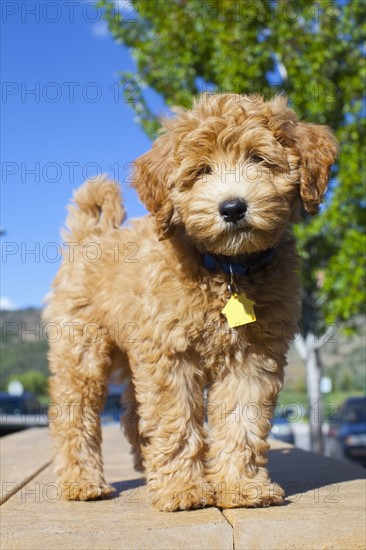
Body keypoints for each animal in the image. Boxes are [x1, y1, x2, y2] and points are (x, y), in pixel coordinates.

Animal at [44, 95, 338, 512]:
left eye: (259, 159)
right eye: (201, 171)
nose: (232, 208)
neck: (226, 268)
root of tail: (91, 234)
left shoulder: (252, 355)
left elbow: (242, 420)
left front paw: (241, 486)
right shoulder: (171, 353)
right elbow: (176, 417)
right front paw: (183, 489)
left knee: (133, 414)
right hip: (81, 348)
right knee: (75, 414)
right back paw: (82, 482)